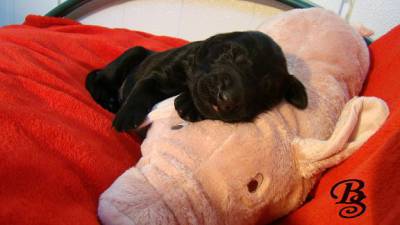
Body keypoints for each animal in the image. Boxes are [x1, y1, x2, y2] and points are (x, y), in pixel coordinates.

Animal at [86, 30, 308, 131]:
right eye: (231, 55)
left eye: (265, 91)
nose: (227, 98)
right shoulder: (163, 73)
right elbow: (143, 88)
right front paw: (127, 116)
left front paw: (188, 104)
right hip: (134, 52)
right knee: (96, 78)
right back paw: (107, 99)